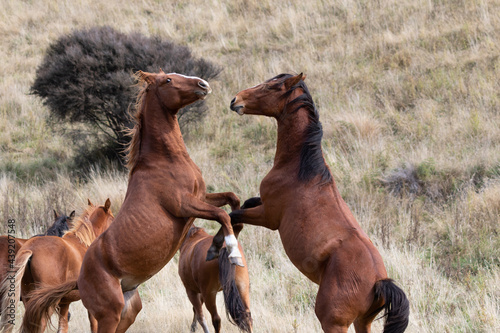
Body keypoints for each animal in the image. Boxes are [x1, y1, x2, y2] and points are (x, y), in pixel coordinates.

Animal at [20, 70, 244, 332]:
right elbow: (223, 214)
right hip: (109, 313)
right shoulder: (184, 205)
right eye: (168, 80)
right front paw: (231, 252)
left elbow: (233, 201)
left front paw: (218, 244)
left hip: (128, 311)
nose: (203, 84)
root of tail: (80, 279)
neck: (164, 160)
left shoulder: (202, 198)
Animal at [209, 74, 408, 332]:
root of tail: (379, 282)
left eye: (271, 87)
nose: (236, 100)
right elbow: (243, 206)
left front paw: (217, 247)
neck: (300, 169)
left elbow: (234, 216)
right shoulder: (262, 203)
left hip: (333, 323)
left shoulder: (268, 217)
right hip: (362, 322)